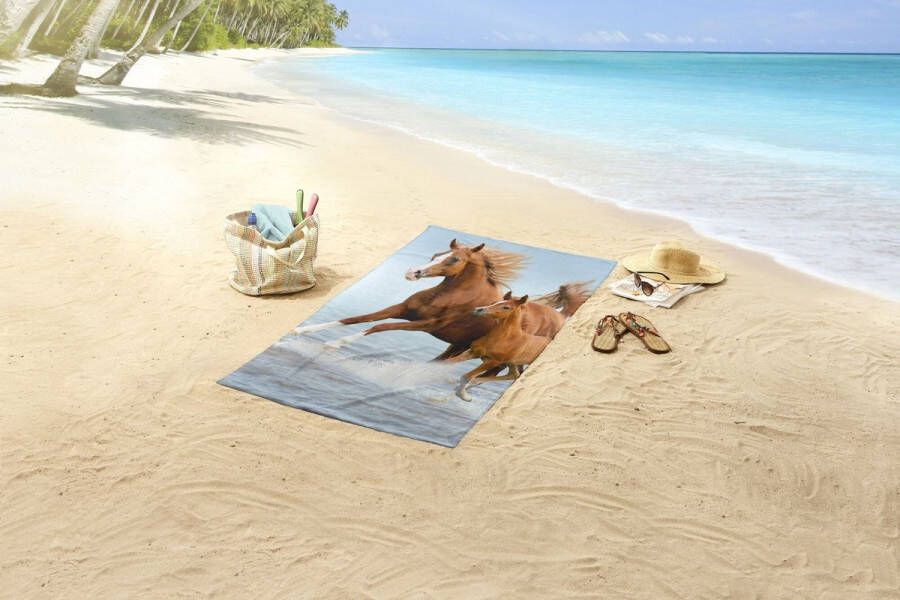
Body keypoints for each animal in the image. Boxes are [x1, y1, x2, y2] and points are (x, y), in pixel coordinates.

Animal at [293, 239, 526, 360]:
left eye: (454, 259)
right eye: (436, 255)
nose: (413, 272)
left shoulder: (425, 325)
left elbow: (379, 327)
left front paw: (335, 343)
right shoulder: (402, 309)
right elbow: (356, 319)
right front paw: (302, 330)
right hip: (454, 346)